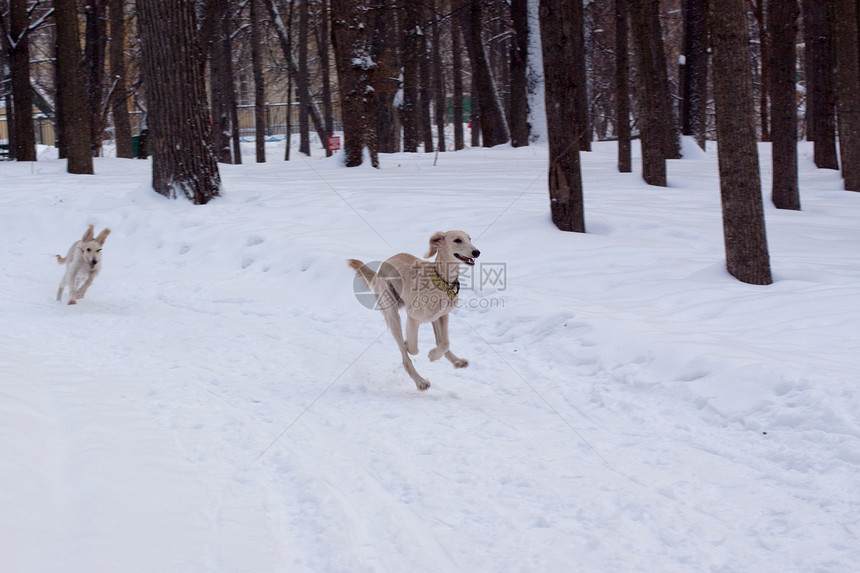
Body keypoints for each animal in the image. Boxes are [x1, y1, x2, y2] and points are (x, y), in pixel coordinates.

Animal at [352, 230, 484, 392]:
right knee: (405, 358)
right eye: (457, 240)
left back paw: (456, 361)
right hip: (393, 316)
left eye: (469, 239)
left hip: (433, 317)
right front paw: (420, 350)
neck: (441, 282)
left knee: (440, 341)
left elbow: (445, 342)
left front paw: (434, 355)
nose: (476, 252)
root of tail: (380, 269)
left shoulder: (443, 316)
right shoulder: (413, 318)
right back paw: (420, 381)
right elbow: (413, 348)